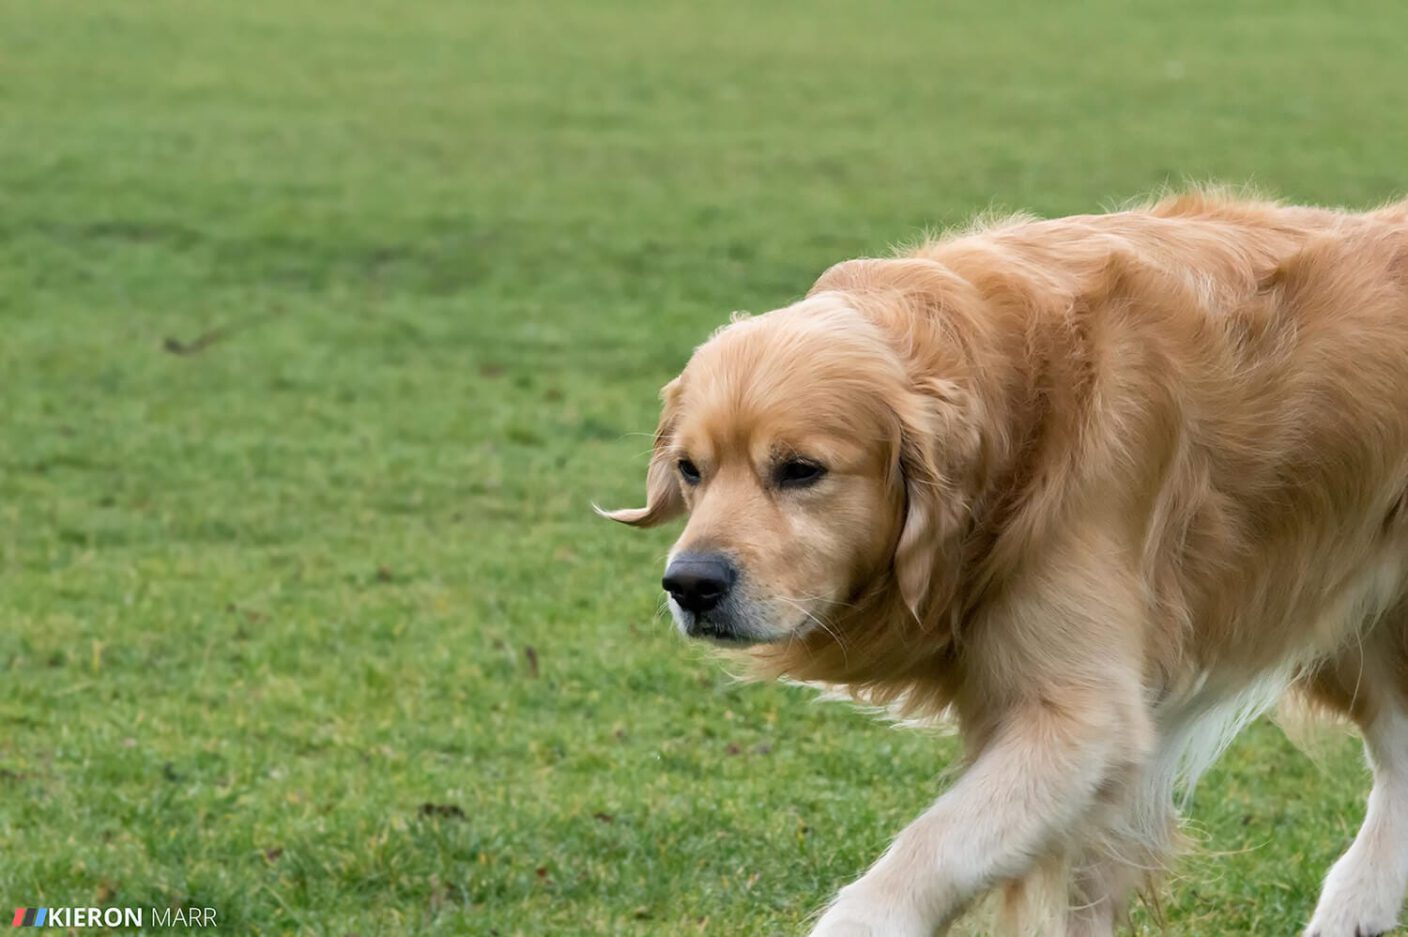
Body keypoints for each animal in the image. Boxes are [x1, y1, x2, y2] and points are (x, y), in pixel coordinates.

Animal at [596, 191, 1408, 935]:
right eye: (691, 469)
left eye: (801, 470)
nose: (690, 584)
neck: (1023, 416)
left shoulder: (1086, 720)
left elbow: (921, 859)